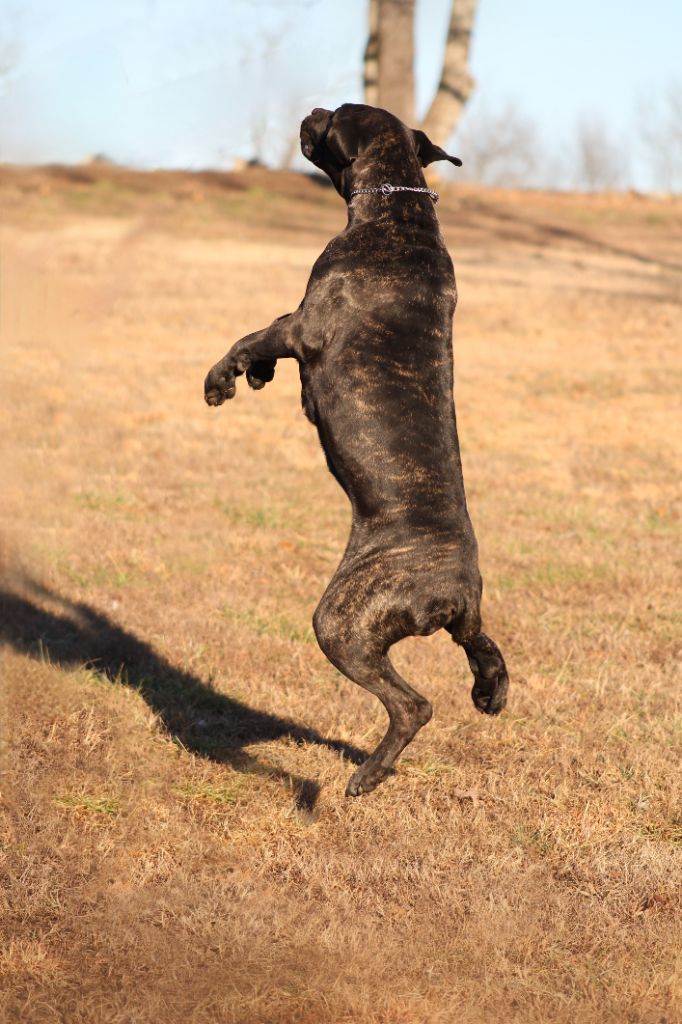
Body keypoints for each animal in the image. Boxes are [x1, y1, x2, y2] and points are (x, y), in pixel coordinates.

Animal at [204, 101, 507, 790]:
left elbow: (251, 334)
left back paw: (363, 776)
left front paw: (223, 380)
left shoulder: (305, 324)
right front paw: (256, 378)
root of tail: (457, 592)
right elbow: (263, 338)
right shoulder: (298, 325)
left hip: (343, 622)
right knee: (481, 647)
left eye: (338, 113)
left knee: (413, 704)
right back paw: (489, 693)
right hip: (433, 625)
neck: (398, 208)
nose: (313, 109)